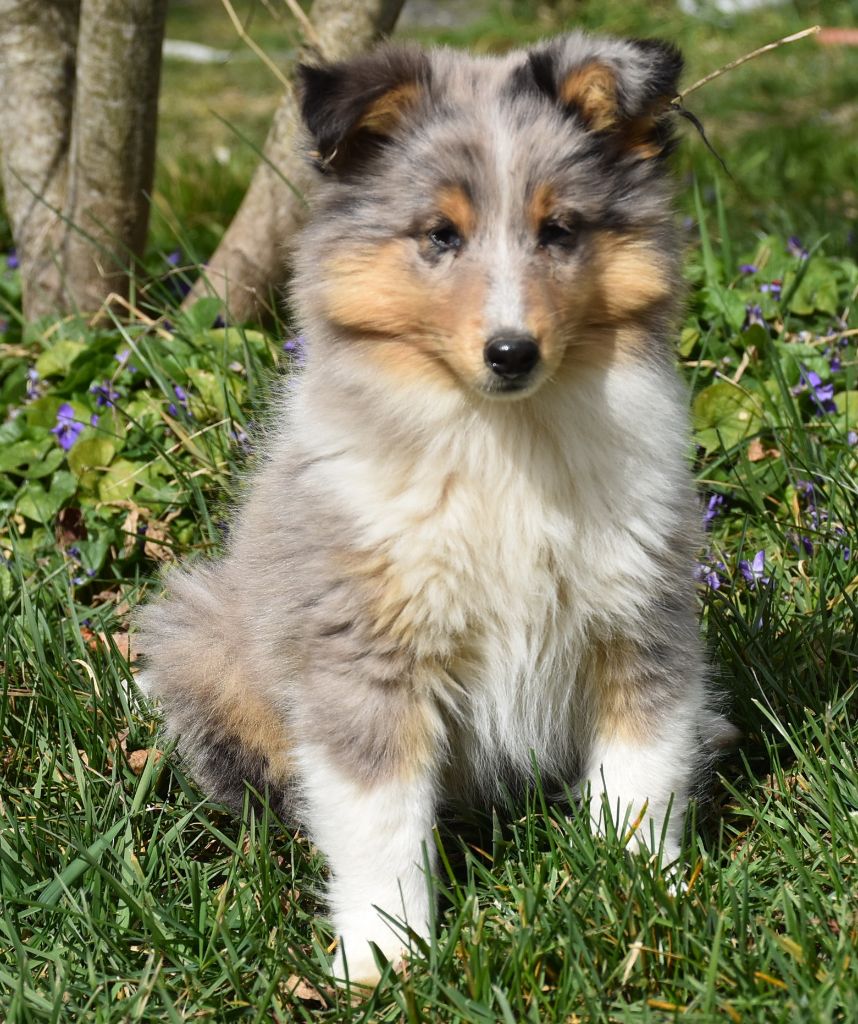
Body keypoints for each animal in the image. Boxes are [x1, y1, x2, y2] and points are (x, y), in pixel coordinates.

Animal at [134, 32, 733, 987]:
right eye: (440, 235)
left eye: (559, 229)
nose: (512, 352)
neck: (502, 442)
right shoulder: (368, 651)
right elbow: (379, 821)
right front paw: (384, 957)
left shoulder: (640, 617)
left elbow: (642, 774)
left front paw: (641, 901)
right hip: (199, 638)